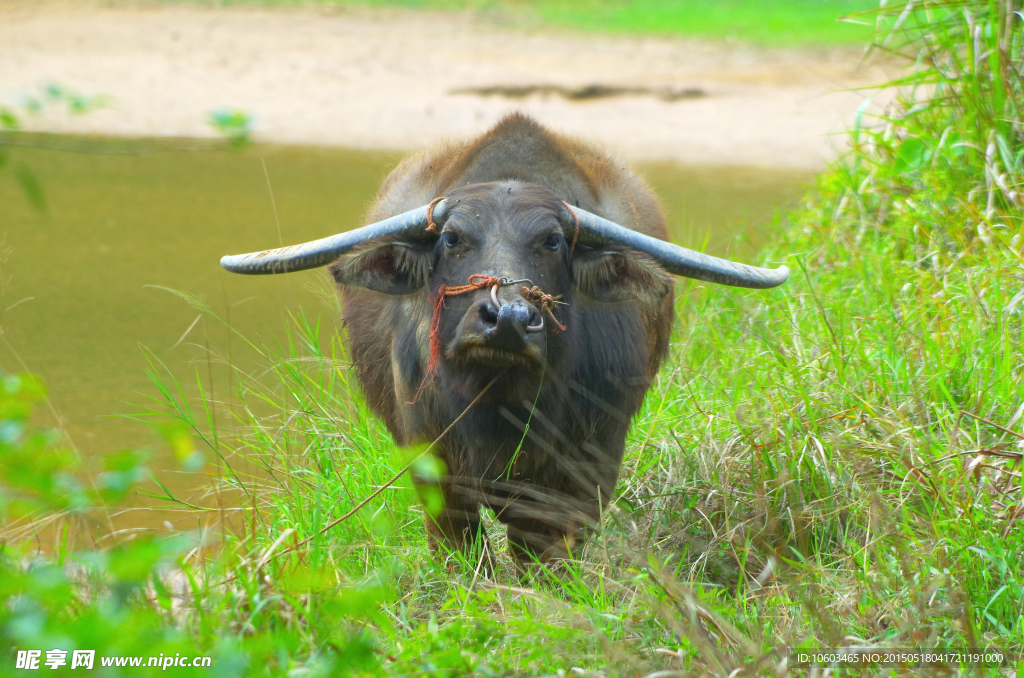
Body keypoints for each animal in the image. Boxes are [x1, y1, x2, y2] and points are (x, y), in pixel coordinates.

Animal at [222, 114, 782, 569]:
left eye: (552, 241)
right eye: (453, 239)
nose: (508, 318)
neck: (499, 400)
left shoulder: (586, 466)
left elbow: (542, 550)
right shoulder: (434, 463)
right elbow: (461, 546)